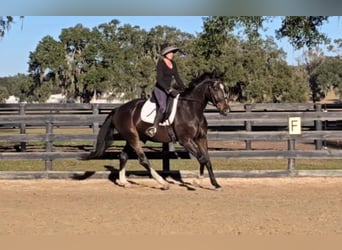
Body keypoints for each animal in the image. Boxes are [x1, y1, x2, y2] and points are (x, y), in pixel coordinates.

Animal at [85, 76, 230, 189]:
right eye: (216, 89)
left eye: (224, 89)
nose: (226, 109)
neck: (191, 109)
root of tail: (118, 109)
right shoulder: (185, 140)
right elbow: (202, 158)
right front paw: (196, 181)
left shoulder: (201, 138)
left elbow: (207, 159)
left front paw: (215, 184)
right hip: (133, 138)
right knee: (143, 159)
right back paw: (162, 183)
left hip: (131, 137)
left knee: (123, 156)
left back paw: (124, 182)